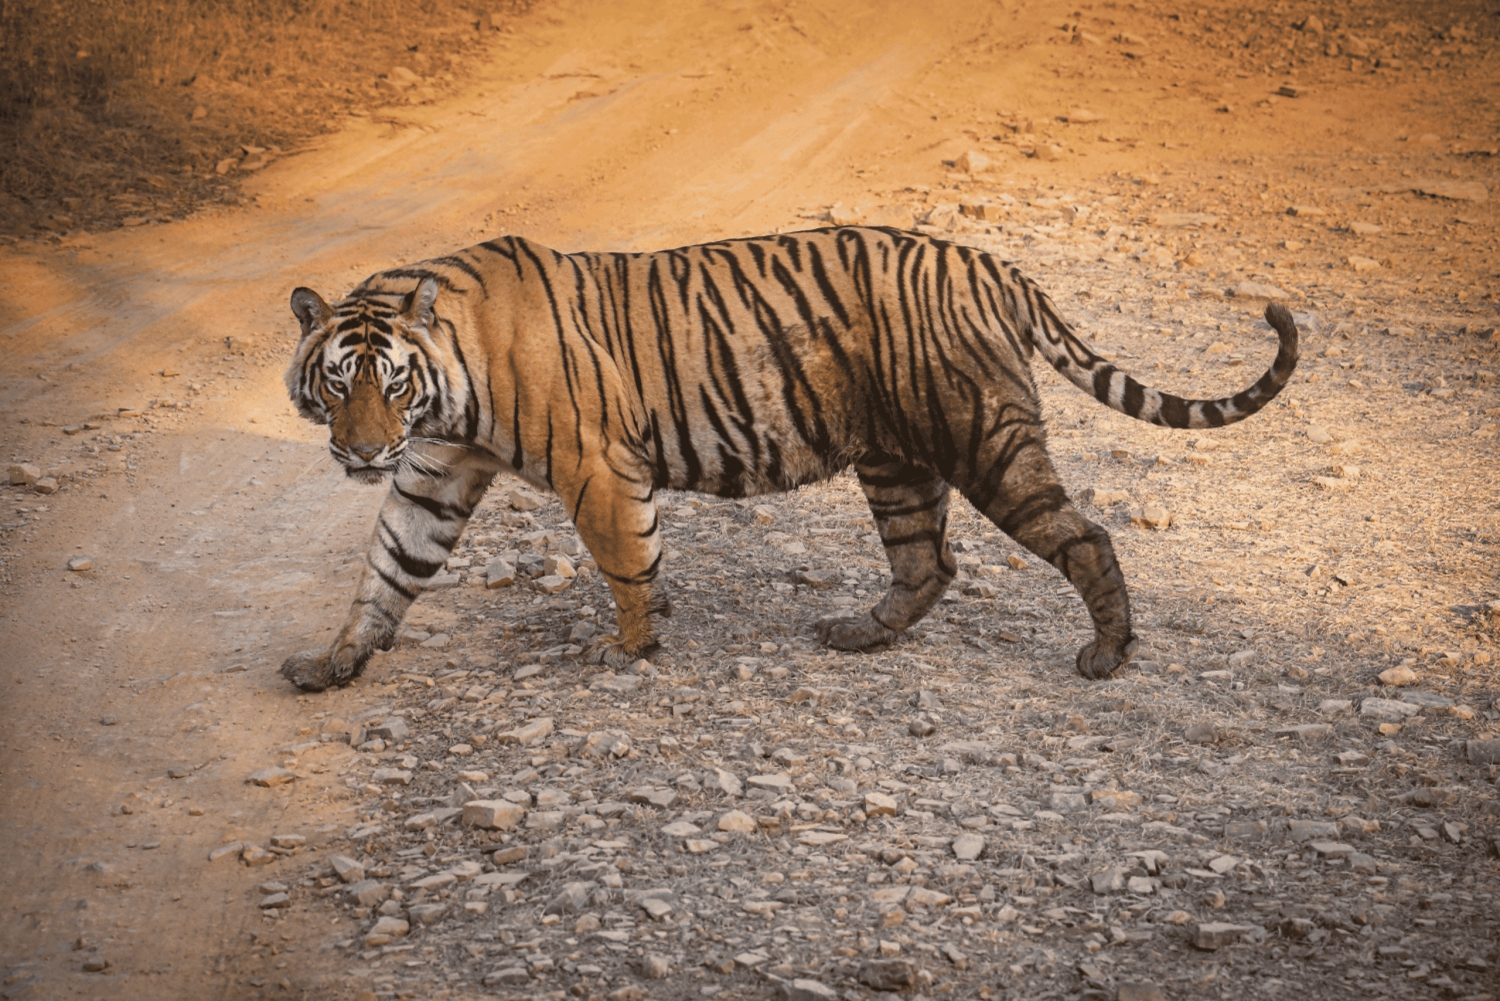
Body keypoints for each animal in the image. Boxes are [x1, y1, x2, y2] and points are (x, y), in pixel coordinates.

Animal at [279, 227, 1298, 692]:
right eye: (338, 382)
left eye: (390, 383)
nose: (362, 452)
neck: (448, 389)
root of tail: (990, 263)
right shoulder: (435, 472)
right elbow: (388, 569)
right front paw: (335, 660)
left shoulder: (598, 465)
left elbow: (625, 562)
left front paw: (631, 647)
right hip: (896, 461)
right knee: (928, 561)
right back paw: (859, 631)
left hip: (984, 438)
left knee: (1082, 535)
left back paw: (1107, 653)